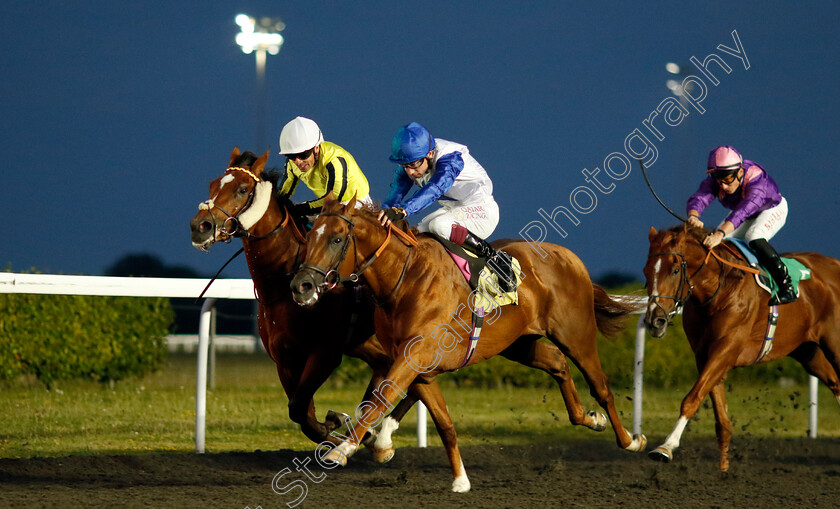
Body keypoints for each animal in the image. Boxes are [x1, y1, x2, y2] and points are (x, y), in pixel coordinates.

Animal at [292, 194, 648, 492]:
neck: (406, 279)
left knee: (601, 386)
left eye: (337, 239)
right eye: (309, 237)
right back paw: (590, 419)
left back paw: (631, 440)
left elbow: (380, 400)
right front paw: (461, 480)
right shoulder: (416, 366)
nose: (301, 286)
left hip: (577, 335)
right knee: (558, 365)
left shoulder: (413, 357)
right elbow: (443, 422)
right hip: (520, 344)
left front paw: (342, 449)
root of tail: (570, 257)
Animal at [644, 224, 840, 470]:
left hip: (834, 344)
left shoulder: (726, 349)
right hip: (809, 352)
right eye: (646, 272)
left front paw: (665, 447)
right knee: (836, 383)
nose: (655, 321)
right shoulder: (705, 355)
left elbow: (691, 399)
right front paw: (724, 470)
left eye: (675, 270)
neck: (720, 289)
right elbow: (722, 421)